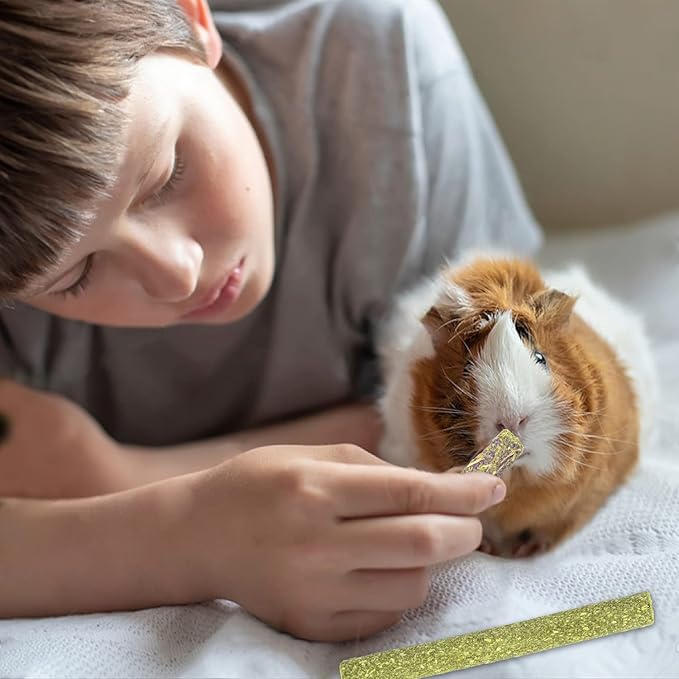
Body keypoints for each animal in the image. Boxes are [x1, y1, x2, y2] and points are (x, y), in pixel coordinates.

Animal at [377, 252, 657, 558]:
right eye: (467, 368)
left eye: (541, 358)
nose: (511, 420)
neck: (518, 479)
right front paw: (487, 547)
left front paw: (528, 550)